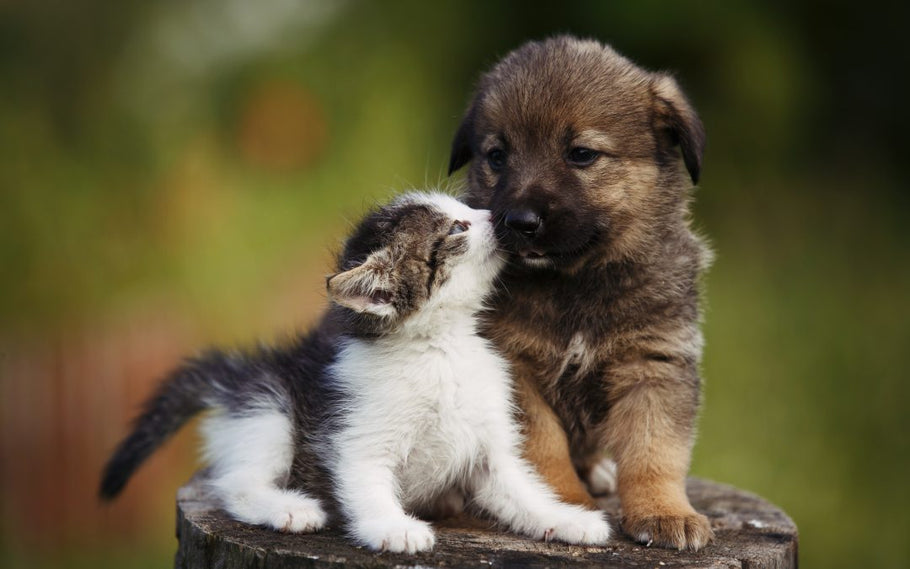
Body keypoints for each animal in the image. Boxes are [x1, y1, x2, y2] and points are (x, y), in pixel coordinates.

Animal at [100, 191, 612, 552]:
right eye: (457, 226)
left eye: (466, 209)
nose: (501, 216)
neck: (440, 348)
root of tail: (241, 375)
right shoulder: (356, 436)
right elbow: (367, 486)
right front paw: (393, 528)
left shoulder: (490, 448)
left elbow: (521, 489)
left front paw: (566, 520)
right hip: (268, 411)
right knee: (235, 483)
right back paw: (289, 509)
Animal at [452, 36, 716, 552]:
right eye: (497, 156)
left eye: (580, 154)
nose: (519, 221)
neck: (575, 283)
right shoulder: (514, 367)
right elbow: (541, 447)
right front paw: (560, 504)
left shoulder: (653, 363)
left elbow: (655, 450)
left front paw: (664, 511)